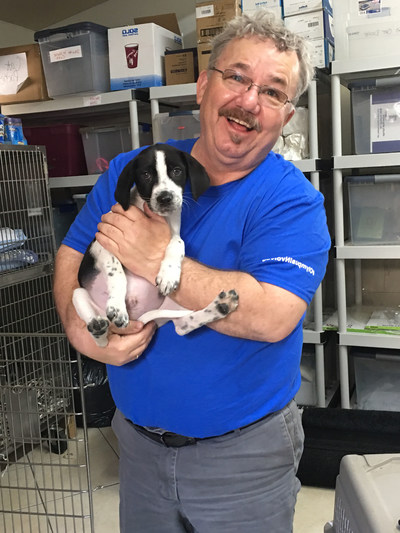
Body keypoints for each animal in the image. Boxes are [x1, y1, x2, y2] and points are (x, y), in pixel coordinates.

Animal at [72, 143, 238, 348]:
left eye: (177, 171)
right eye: (146, 175)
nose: (165, 198)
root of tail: (139, 319)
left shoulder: (174, 234)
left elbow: (178, 243)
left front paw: (169, 274)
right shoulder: (102, 243)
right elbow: (117, 272)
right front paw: (117, 307)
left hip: (178, 304)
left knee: (182, 326)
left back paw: (221, 307)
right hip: (78, 293)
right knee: (102, 342)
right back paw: (98, 326)